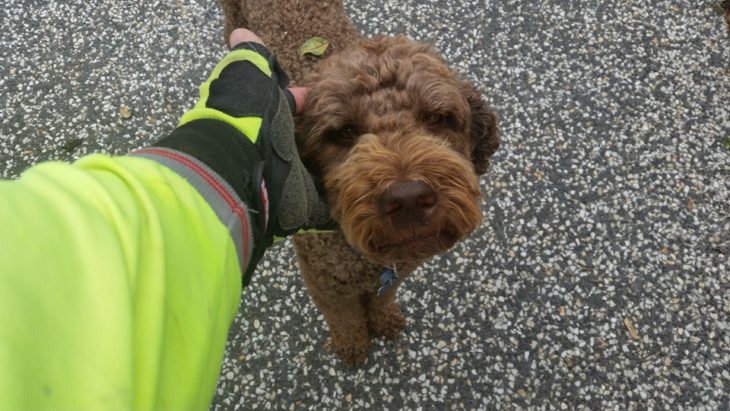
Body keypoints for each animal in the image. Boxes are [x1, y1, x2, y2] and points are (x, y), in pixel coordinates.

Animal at [219, 0, 498, 366]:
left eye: (438, 118)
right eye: (344, 132)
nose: (409, 198)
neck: (366, 259)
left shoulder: (397, 272)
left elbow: (382, 299)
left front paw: (383, 320)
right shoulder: (326, 287)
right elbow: (345, 318)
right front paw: (352, 345)